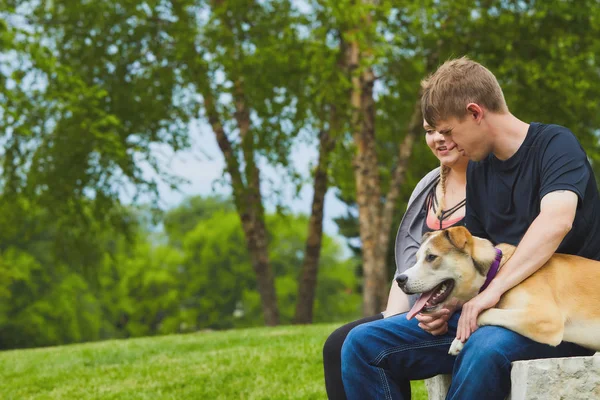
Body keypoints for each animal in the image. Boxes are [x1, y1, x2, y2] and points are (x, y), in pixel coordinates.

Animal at [396, 227, 600, 354]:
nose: (400, 280)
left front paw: (460, 337)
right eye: (417, 258)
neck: (498, 272)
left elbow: (480, 313)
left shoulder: (547, 318)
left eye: (431, 257)